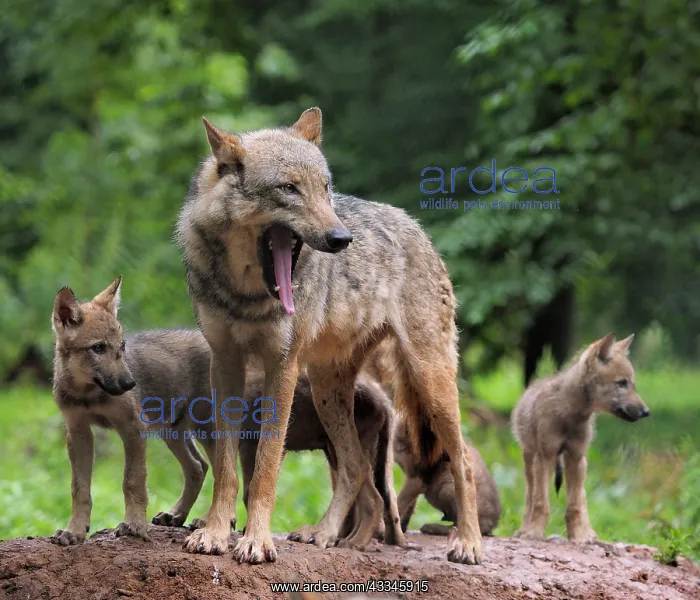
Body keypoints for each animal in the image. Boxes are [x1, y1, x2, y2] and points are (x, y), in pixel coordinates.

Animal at [50, 278, 215, 544]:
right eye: (98, 348)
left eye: (122, 346)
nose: (130, 383)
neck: (87, 394)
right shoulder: (78, 433)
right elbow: (79, 489)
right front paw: (74, 531)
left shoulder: (133, 429)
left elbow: (133, 481)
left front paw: (134, 526)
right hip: (172, 432)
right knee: (198, 467)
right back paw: (176, 515)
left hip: (206, 430)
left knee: (229, 476)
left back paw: (209, 521)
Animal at [176, 107, 482, 564]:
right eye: (289, 189)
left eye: (324, 188)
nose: (341, 239)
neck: (245, 292)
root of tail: (417, 227)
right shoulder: (226, 364)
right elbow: (227, 471)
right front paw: (214, 533)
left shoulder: (283, 366)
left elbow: (266, 470)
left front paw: (256, 541)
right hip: (327, 391)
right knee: (356, 468)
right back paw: (324, 534)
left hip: (431, 382)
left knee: (461, 460)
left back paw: (469, 543)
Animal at [511, 333, 649, 543]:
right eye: (621, 383)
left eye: (632, 384)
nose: (646, 412)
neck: (570, 415)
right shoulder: (546, 457)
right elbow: (541, 503)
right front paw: (533, 533)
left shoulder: (575, 457)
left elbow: (574, 506)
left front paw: (578, 537)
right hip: (530, 461)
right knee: (530, 496)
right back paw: (523, 529)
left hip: (581, 465)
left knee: (582, 498)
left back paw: (589, 533)